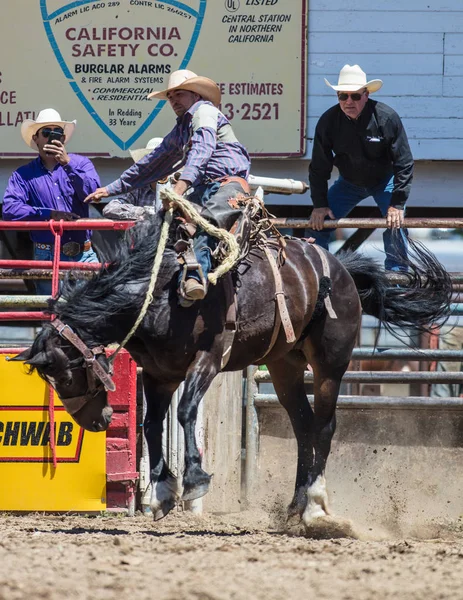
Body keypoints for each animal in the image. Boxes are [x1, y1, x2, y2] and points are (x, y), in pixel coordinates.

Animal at [13, 214, 454, 524]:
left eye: (65, 374)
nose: (98, 421)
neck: (159, 293)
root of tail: (341, 269)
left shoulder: (208, 360)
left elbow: (186, 412)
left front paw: (194, 481)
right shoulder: (159, 374)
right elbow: (151, 425)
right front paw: (162, 492)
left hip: (330, 365)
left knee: (325, 427)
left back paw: (315, 505)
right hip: (283, 367)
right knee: (304, 427)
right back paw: (294, 506)